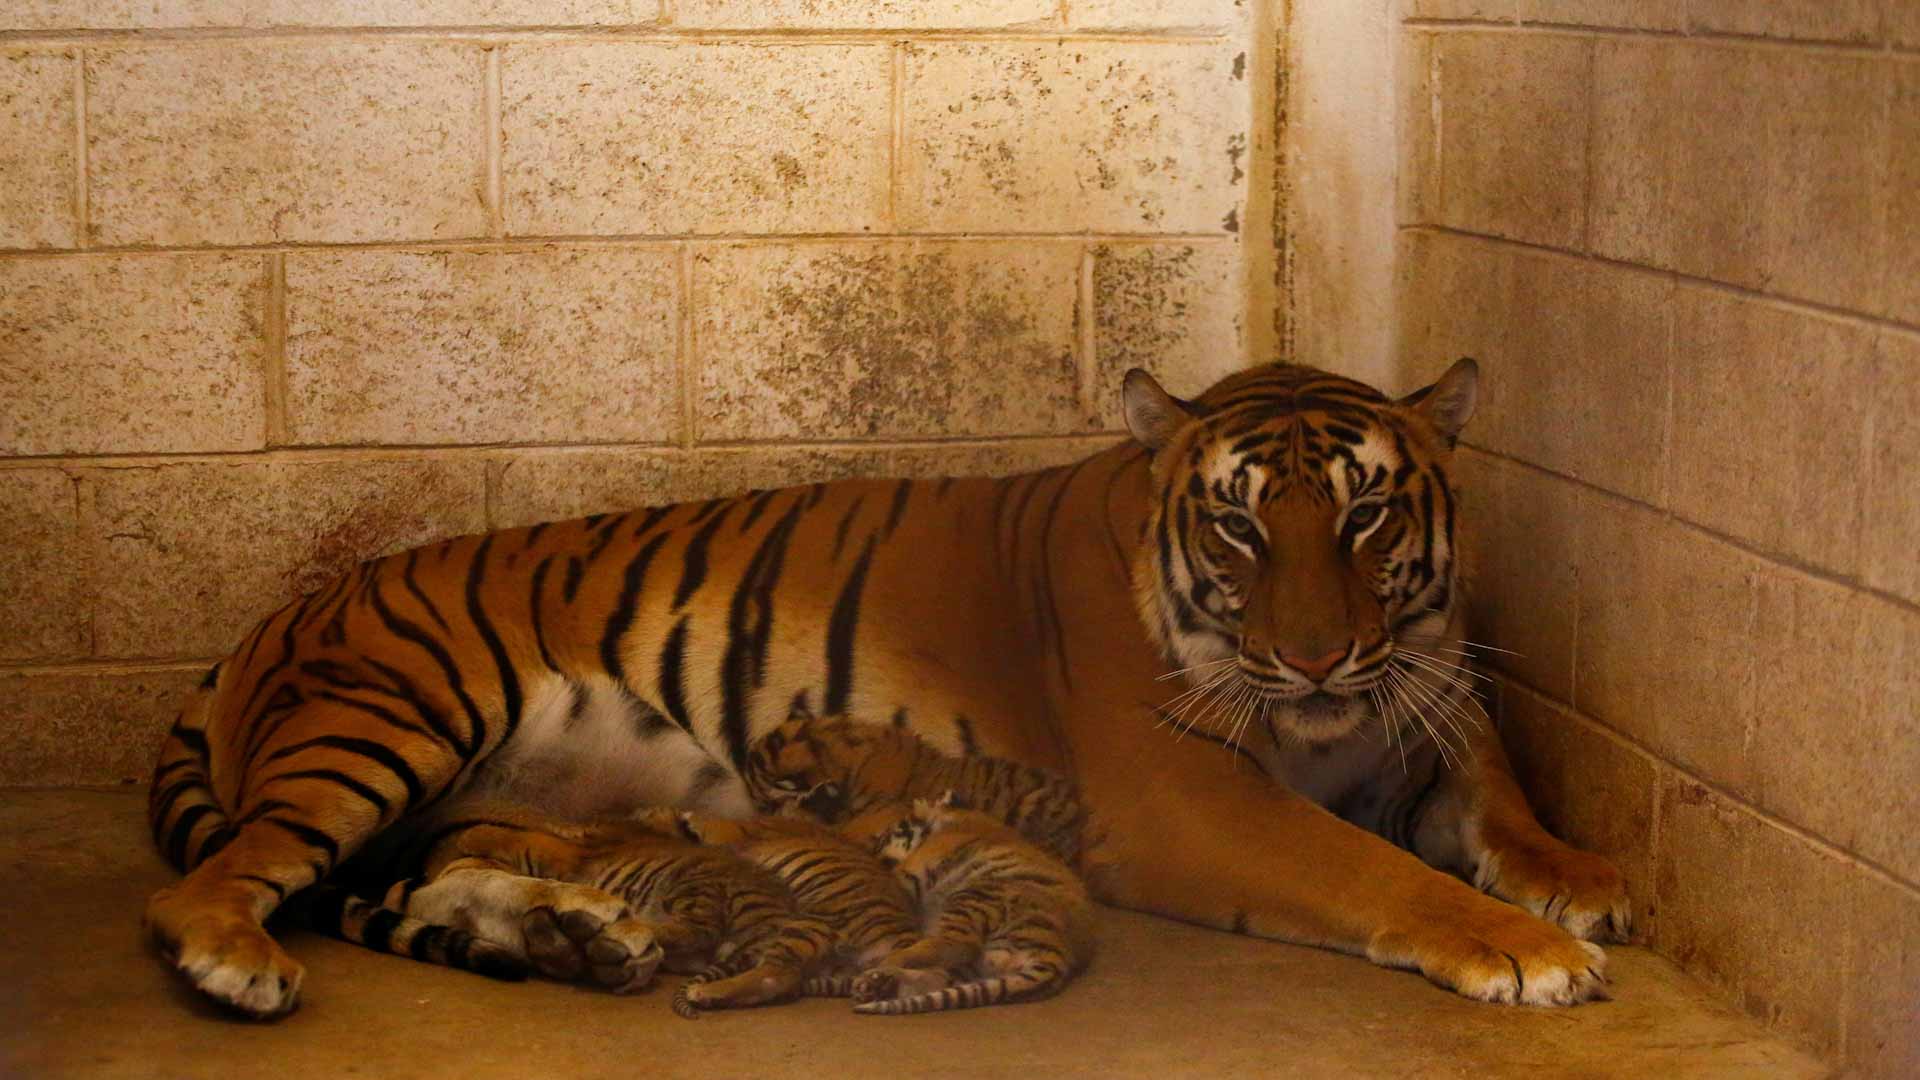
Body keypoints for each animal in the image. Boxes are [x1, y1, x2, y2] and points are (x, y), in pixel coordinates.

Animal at [142, 357, 1628, 1014]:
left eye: (1367, 519)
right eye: (1242, 528)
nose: (1316, 655)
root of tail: (276, 614)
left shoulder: (1430, 712)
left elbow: (1501, 806)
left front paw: (1581, 883)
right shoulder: (1184, 796)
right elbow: (1374, 872)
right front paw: (1524, 949)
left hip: (483, 804)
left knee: (435, 876)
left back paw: (575, 939)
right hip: (383, 722)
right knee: (221, 883)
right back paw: (237, 961)